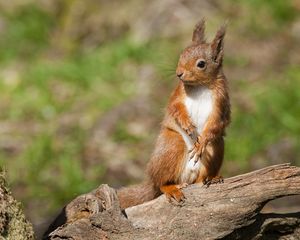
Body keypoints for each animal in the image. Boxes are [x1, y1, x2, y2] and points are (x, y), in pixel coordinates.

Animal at [116, 19, 230, 209]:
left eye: (201, 64)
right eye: (181, 55)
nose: (179, 73)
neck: (200, 86)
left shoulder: (220, 103)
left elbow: (217, 123)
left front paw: (201, 142)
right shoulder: (177, 95)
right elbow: (175, 108)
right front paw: (187, 124)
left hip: (216, 147)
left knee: (201, 174)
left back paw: (211, 177)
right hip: (173, 144)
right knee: (161, 183)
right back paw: (171, 188)